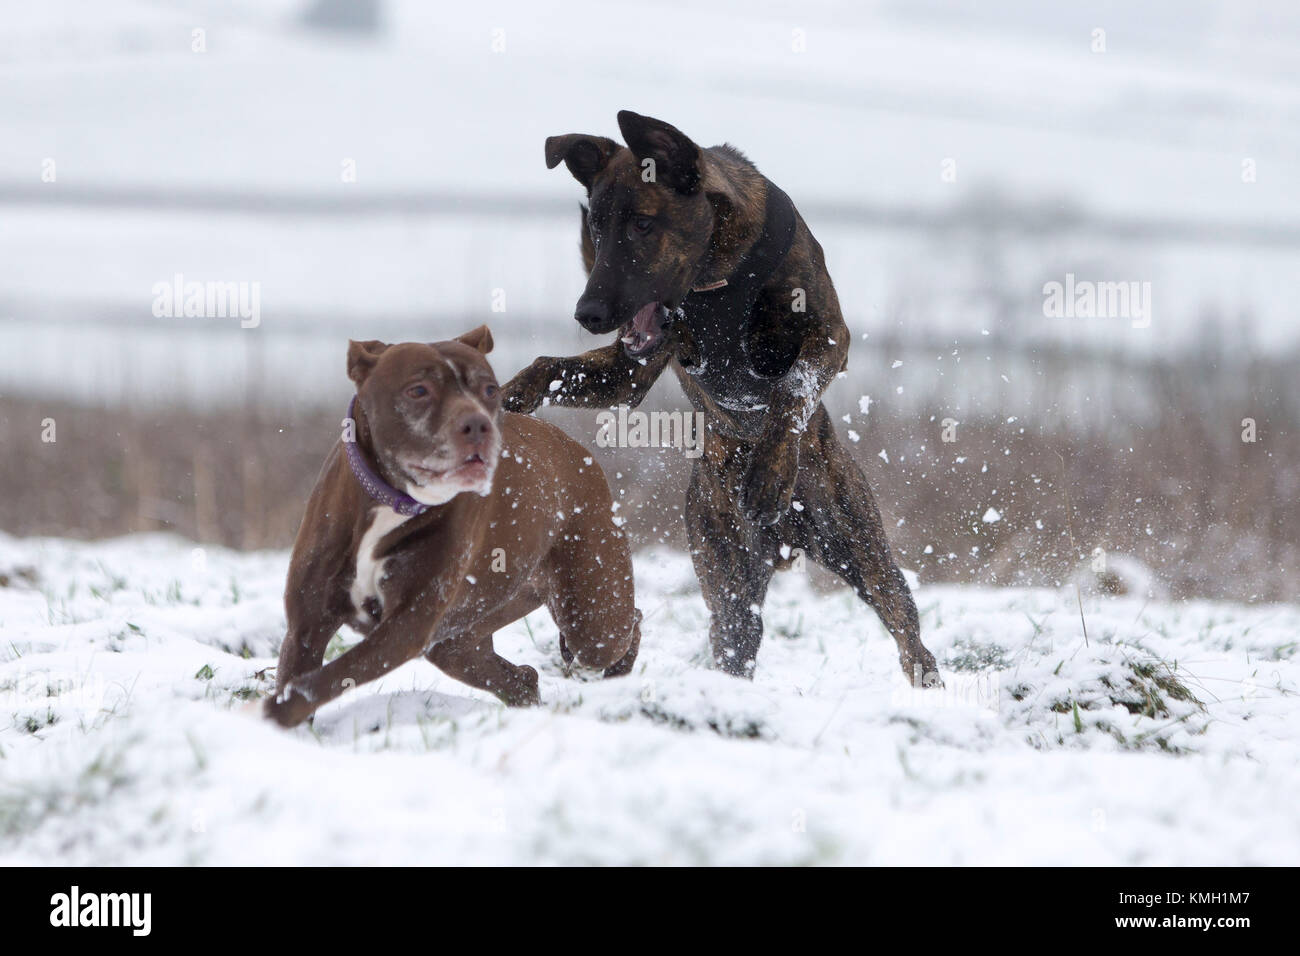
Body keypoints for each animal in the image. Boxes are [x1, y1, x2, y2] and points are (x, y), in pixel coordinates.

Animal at [265, 325, 644, 728]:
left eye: (490, 389)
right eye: (418, 390)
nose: (477, 424)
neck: (393, 498)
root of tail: (575, 448)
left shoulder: (404, 628)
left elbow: (326, 679)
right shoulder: (307, 624)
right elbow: (301, 679)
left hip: (592, 612)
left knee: (623, 625)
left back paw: (619, 674)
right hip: (462, 633)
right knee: (518, 677)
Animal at [501, 110, 941, 686]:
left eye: (643, 223)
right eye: (597, 224)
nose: (588, 313)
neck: (717, 276)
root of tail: (787, 544)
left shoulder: (828, 336)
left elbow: (791, 390)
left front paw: (770, 475)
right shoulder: (630, 370)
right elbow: (548, 366)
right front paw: (504, 397)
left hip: (864, 551)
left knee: (910, 637)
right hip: (728, 580)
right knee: (737, 640)